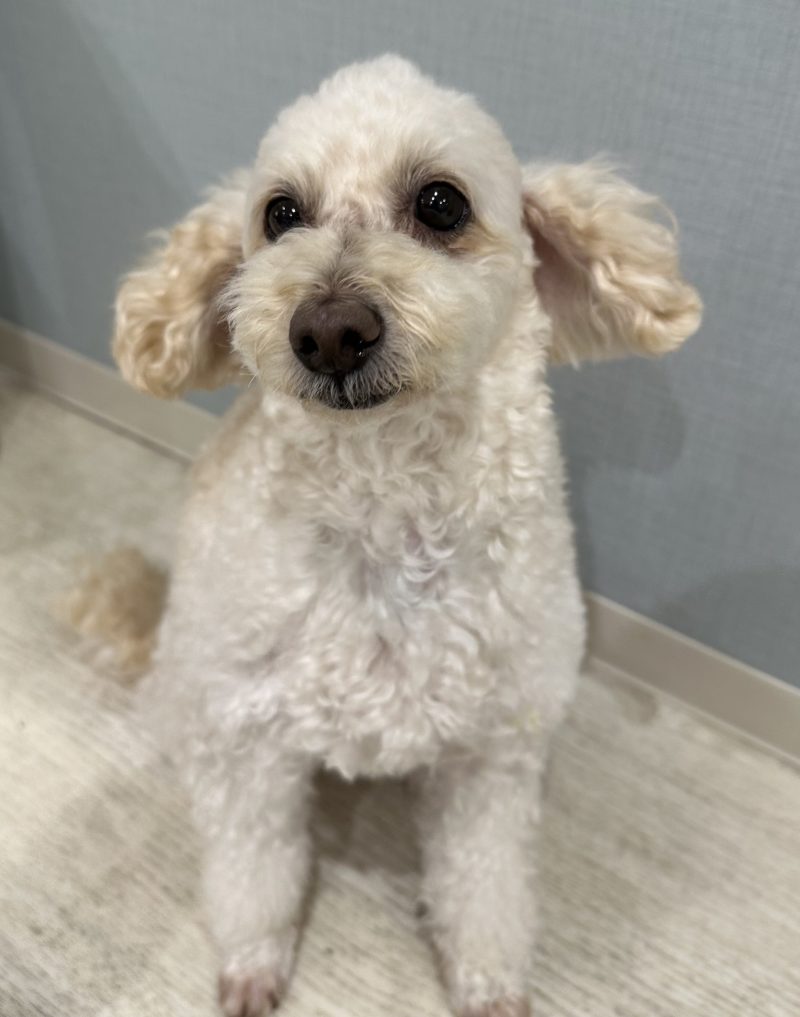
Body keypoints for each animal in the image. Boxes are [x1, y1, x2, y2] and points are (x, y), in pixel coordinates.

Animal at [68, 55, 701, 1017]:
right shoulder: (249, 747)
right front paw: (253, 965)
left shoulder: (492, 754)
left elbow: (486, 882)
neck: (383, 516)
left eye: (441, 203)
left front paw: (487, 980)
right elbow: (254, 871)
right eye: (280, 213)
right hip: (196, 688)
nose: (329, 330)